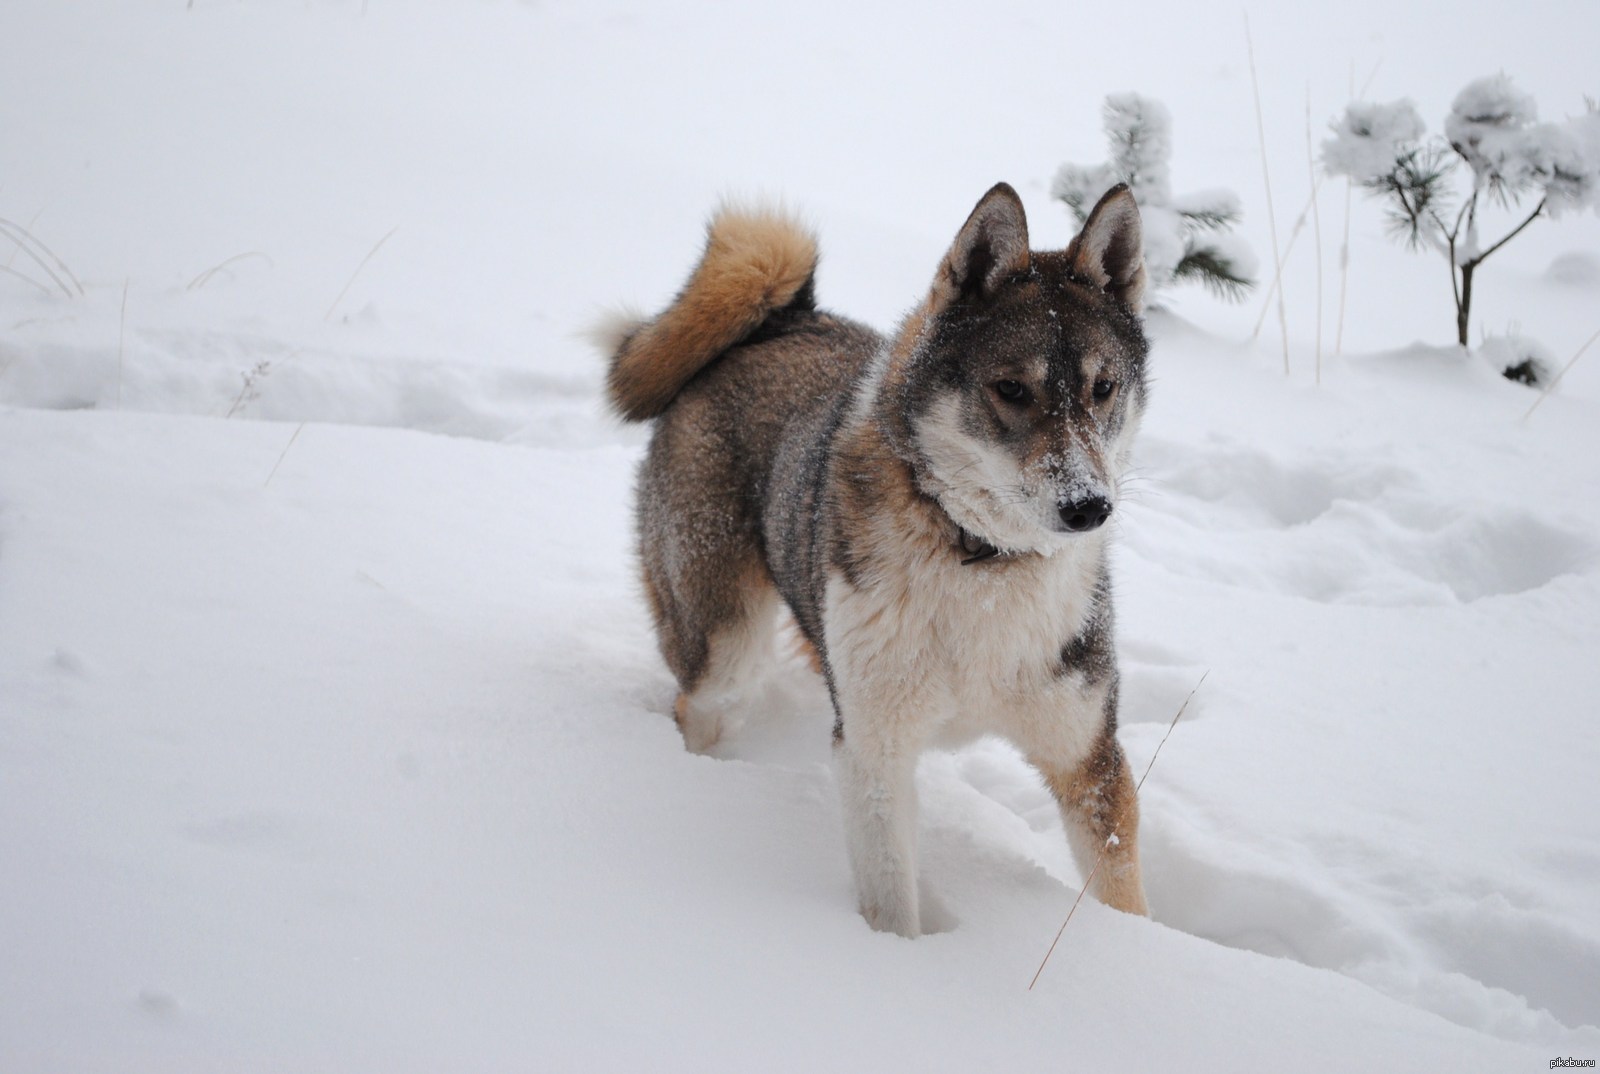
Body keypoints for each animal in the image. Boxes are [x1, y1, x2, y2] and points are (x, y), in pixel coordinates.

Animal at [598, 182, 1152, 934]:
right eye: (1010, 389)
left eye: (1104, 388)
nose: (1089, 506)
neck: (985, 563)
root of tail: (784, 321)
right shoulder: (874, 750)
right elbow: (892, 900)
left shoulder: (1088, 757)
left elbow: (1123, 895)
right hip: (725, 640)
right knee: (696, 700)